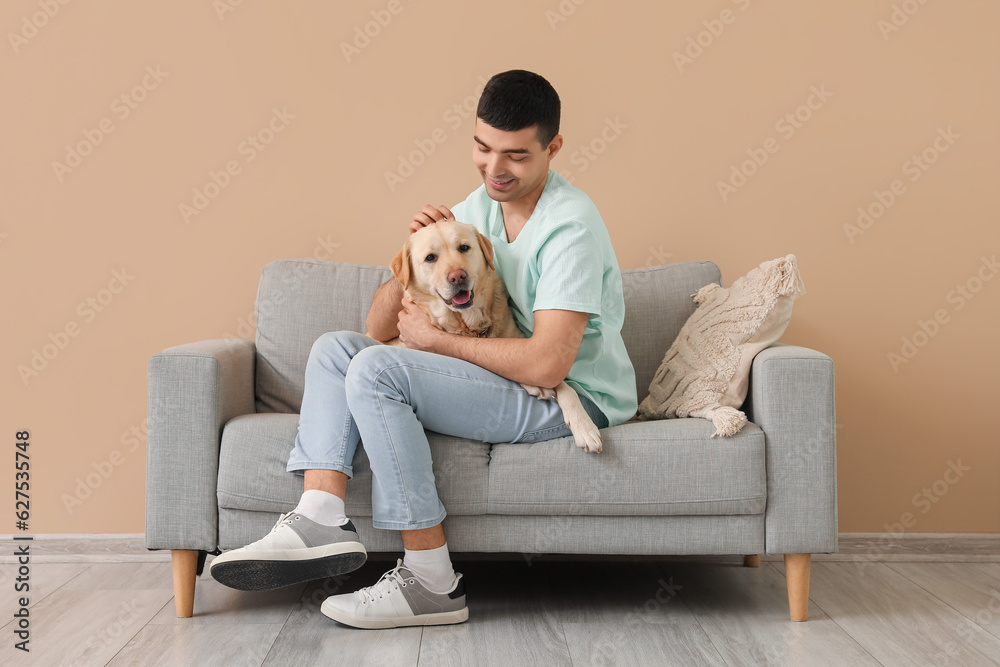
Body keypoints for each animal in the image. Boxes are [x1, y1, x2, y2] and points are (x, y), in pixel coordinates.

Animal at [372, 219, 600, 454]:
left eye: (464, 247)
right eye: (430, 258)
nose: (458, 276)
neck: (469, 323)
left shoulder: (534, 353)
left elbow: (566, 386)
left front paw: (584, 426)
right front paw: (537, 386)